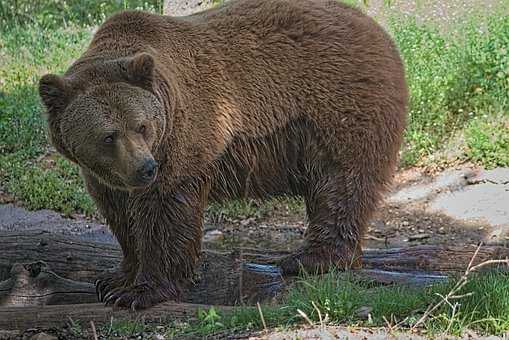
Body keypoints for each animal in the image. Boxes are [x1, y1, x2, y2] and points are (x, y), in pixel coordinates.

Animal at [37, 0, 406, 310]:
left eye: (142, 126)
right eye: (108, 135)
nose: (145, 168)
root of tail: (375, 27)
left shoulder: (181, 140)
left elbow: (164, 214)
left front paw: (140, 292)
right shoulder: (106, 175)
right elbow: (120, 215)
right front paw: (116, 278)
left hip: (337, 106)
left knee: (340, 182)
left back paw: (311, 259)